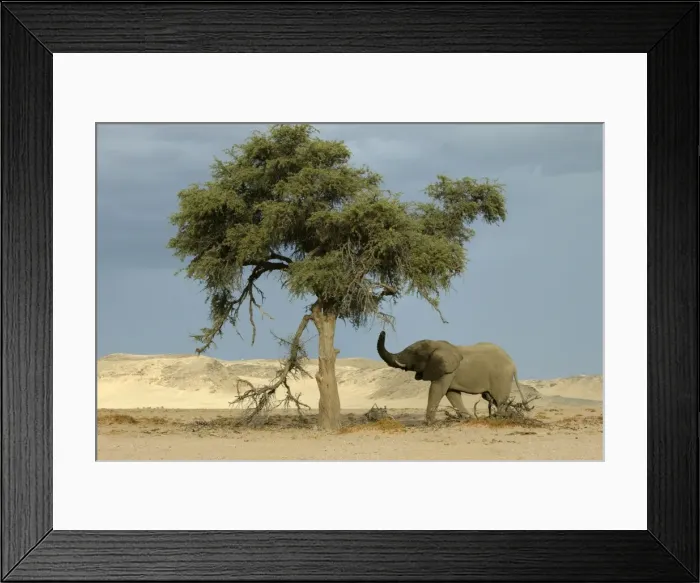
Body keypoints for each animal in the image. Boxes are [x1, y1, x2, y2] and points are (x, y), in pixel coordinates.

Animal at [376, 331, 530, 424]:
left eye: (414, 353)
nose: (383, 331)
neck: (437, 344)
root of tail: (513, 363)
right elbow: (452, 394)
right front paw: (467, 418)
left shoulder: (447, 370)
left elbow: (437, 390)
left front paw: (428, 423)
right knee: (490, 398)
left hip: (501, 376)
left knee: (499, 399)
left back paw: (501, 419)